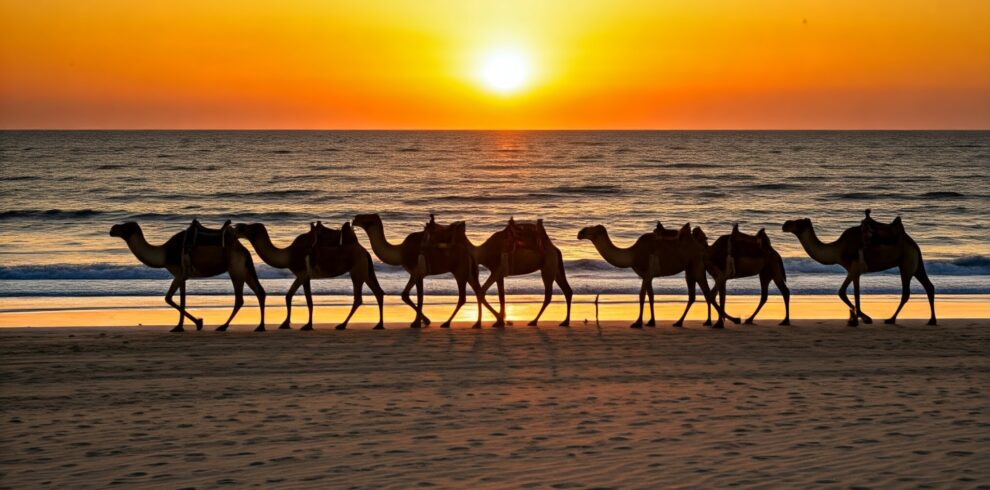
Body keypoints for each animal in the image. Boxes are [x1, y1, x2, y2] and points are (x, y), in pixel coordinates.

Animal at [109, 221, 268, 334]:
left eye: (125, 226)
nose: (112, 228)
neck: (164, 253)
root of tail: (244, 250)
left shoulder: (180, 273)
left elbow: (168, 298)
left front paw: (198, 323)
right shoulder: (182, 276)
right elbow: (182, 299)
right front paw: (180, 326)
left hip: (235, 269)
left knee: (240, 299)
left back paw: (223, 326)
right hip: (244, 269)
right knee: (259, 292)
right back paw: (260, 326)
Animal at [234, 221, 386, 330]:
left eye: (244, 228)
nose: (236, 227)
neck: (288, 255)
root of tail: (364, 250)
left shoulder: (302, 274)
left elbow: (305, 300)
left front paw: (306, 325)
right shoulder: (303, 276)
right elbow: (292, 297)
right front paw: (287, 324)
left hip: (357, 270)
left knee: (358, 298)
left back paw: (342, 325)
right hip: (364, 270)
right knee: (378, 292)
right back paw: (379, 325)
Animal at [352, 212, 500, 328]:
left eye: (367, 218)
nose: (354, 218)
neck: (400, 252)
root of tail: (468, 251)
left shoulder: (418, 273)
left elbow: (418, 297)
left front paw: (417, 323)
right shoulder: (415, 274)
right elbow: (407, 295)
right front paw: (424, 321)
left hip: (459, 271)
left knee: (463, 297)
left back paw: (447, 323)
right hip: (468, 272)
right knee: (478, 292)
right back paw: (486, 322)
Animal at [580, 222, 728, 330]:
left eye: (593, 229)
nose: (580, 232)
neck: (632, 254)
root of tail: (702, 246)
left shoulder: (646, 274)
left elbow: (641, 295)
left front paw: (637, 322)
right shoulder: (648, 276)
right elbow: (651, 296)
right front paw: (651, 321)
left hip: (697, 266)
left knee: (706, 292)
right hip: (691, 269)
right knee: (700, 294)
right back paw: (703, 321)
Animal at [784, 210, 936, 326]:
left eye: (798, 222)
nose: (785, 225)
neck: (837, 250)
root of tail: (912, 243)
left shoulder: (855, 267)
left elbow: (842, 292)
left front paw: (862, 318)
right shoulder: (854, 271)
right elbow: (855, 294)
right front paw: (858, 318)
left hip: (906, 264)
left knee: (906, 293)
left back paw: (891, 319)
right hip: (916, 263)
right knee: (929, 286)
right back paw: (932, 320)